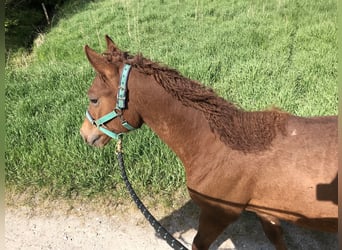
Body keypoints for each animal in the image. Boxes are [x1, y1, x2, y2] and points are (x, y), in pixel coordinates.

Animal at [79, 35, 336, 250]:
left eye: (93, 99)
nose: (84, 135)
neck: (216, 146)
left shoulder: (217, 215)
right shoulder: (267, 213)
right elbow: (278, 240)